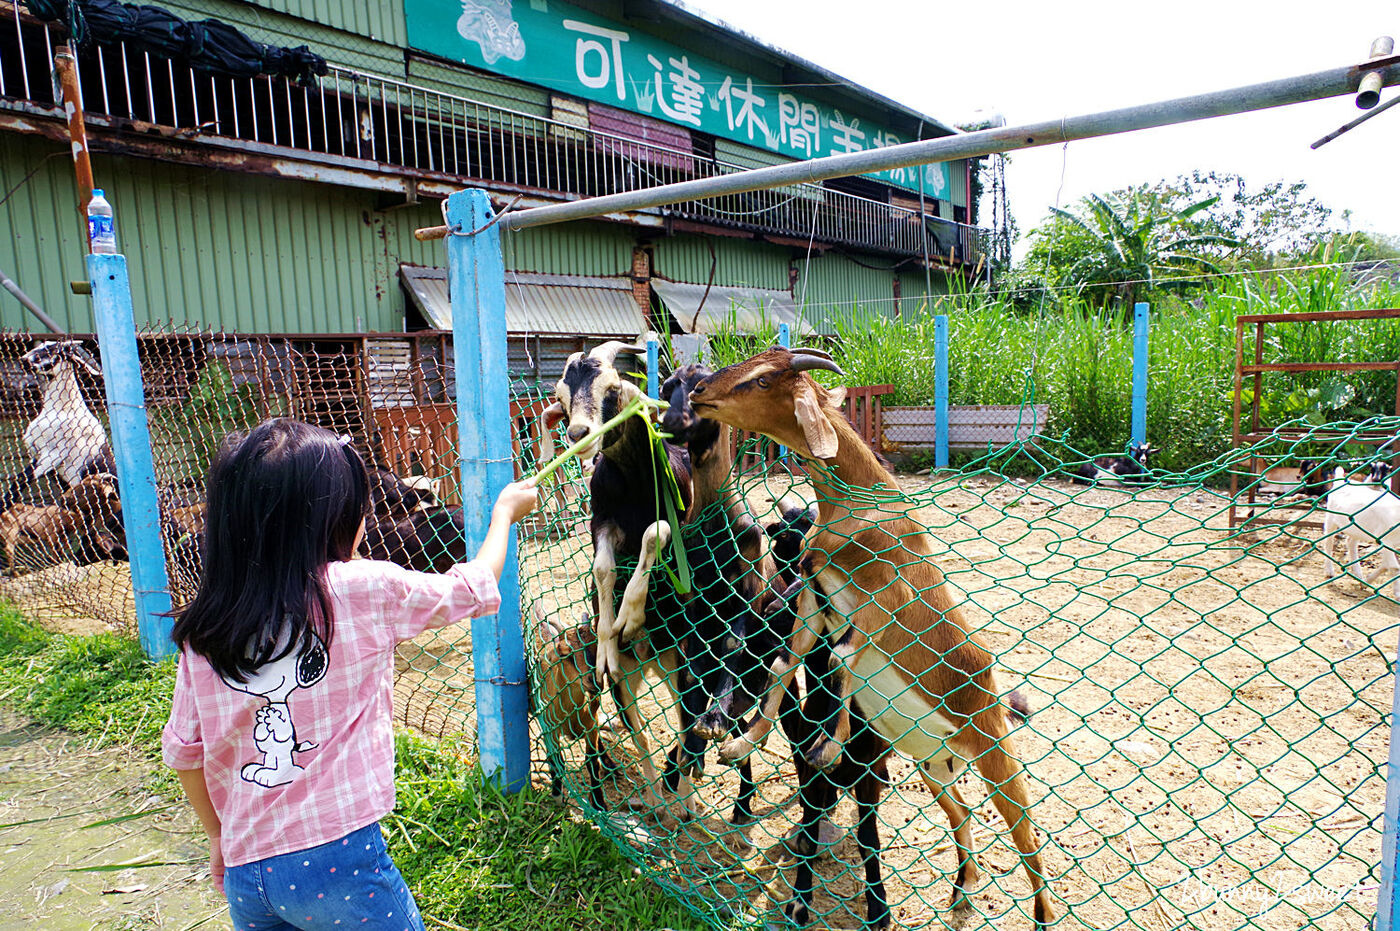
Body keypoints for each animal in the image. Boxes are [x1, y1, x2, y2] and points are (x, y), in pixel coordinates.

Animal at [688, 347, 1052, 924]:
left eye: (764, 379)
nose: (699, 393)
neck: (859, 503)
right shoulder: (817, 599)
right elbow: (786, 662)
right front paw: (741, 740)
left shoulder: (880, 609)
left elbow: (842, 663)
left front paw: (826, 749)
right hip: (936, 765)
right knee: (962, 811)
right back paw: (964, 890)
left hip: (996, 754)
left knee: (1029, 841)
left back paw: (1038, 913)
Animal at [1321, 464, 1400, 596]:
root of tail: (1340, 481)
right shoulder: (1385, 539)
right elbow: (1394, 567)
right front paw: (1397, 593)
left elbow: (1386, 564)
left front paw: (1366, 582)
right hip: (1331, 518)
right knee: (1328, 541)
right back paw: (1329, 572)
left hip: (1356, 528)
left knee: (1350, 542)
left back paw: (1358, 575)